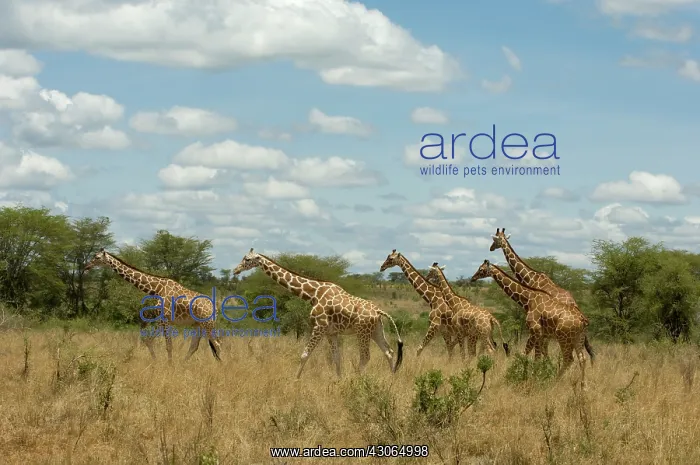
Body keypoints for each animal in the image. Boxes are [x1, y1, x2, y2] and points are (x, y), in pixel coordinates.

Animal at [84, 248, 222, 362]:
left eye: (97, 257)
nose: (86, 267)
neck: (156, 289)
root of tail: (215, 307)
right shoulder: (160, 320)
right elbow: (149, 341)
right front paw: (155, 362)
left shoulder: (165, 319)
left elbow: (168, 345)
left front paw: (170, 366)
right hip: (198, 325)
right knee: (195, 346)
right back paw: (184, 364)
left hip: (208, 323)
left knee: (217, 344)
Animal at [232, 248, 403, 379]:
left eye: (247, 259)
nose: (235, 270)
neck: (313, 293)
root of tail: (379, 311)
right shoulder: (331, 332)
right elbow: (336, 358)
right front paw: (339, 380)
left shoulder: (318, 327)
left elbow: (304, 354)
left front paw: (295, 380)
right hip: (375, 330)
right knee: (389, 352)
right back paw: (392, 380)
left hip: (362, 332)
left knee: (366, 356)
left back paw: (358, 380)